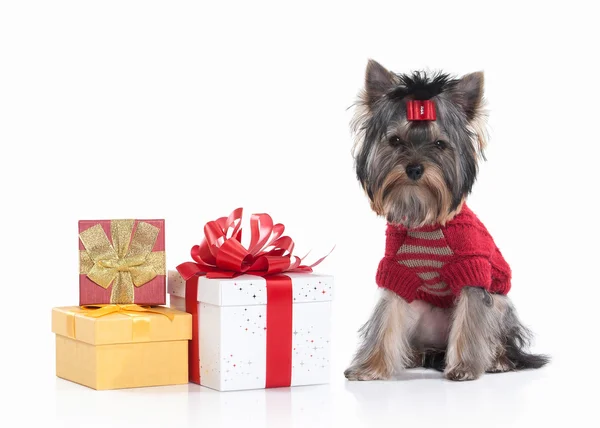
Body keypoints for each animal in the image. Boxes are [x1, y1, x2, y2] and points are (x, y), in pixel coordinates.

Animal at [342, 59, 548, 382]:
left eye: (440, 144)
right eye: (395, 140)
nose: (414, 168)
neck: (423, 215)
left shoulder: (472, 267)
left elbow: (471, 318)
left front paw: (464, 367)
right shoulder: (395, 270)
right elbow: (386, 318)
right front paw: (371, 367)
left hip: (499, 304)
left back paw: (498, 360)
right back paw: (415, 356)